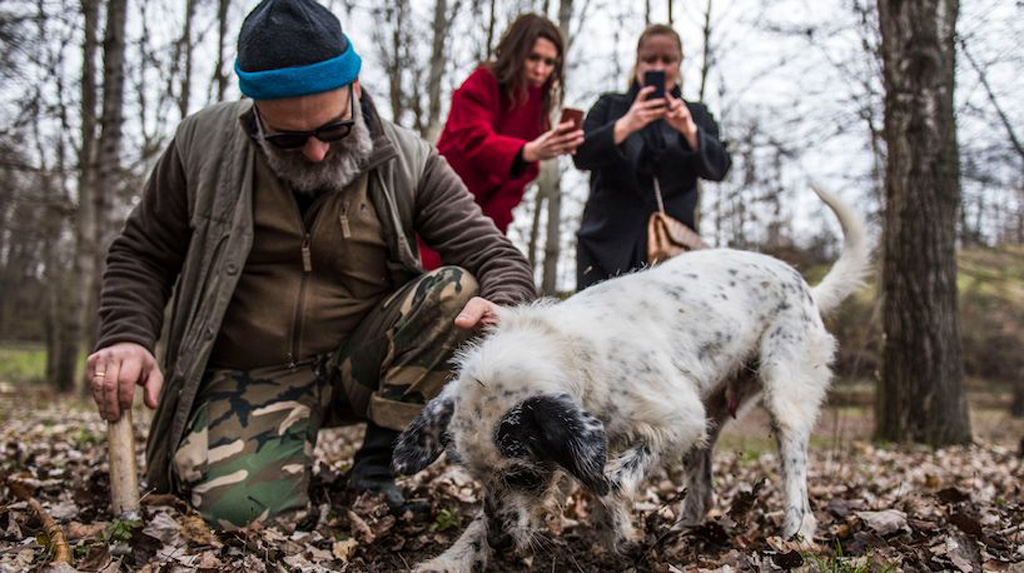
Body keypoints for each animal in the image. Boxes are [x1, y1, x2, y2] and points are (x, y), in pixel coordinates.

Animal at [391, 186, 864, 568]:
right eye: (476, 477)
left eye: (522, 475)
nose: (501, 544)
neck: (570, 349)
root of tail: (805, 286)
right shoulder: (600, 440)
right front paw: (453, 559)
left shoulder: (677, 419)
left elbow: (608, 482)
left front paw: (617, 534)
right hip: (710, 418)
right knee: (702, 484)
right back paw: (685, 529)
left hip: (783, 397)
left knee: (795, 468)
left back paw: (797, 531)